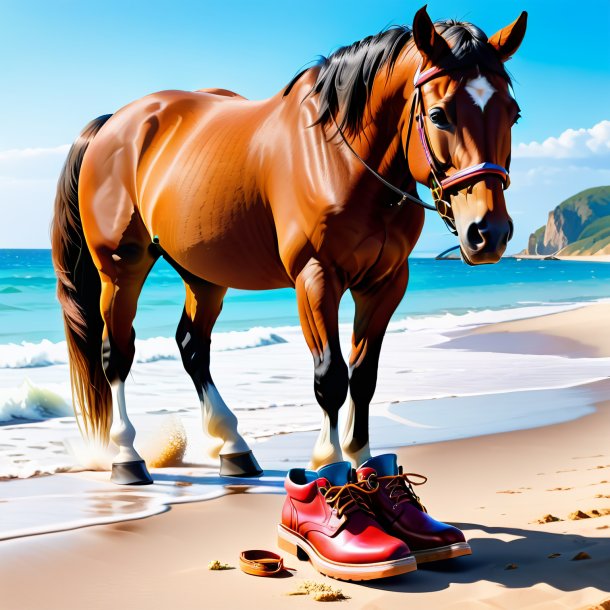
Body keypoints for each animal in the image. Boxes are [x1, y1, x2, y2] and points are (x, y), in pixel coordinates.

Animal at [52, 3, 524, 480]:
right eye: (440, 114)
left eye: (513, 114)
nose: (489, 232)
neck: (339, 157)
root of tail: (115, 124)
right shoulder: (315, 278)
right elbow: (331, 376)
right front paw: (330, 461)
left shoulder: (385, 283)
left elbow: (364, 376)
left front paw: (363, 460)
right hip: (120, 266)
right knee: (117, 352)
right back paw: (127, 456)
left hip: (203, 274)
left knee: (192, 347)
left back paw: (234, 447)